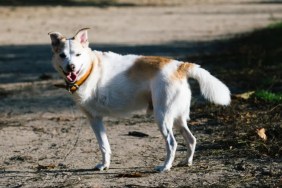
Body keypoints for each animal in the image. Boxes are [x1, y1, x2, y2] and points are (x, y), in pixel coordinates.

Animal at [48, 27, 229, 172]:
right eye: (62, 55)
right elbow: (105, 146)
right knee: (191, 139)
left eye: (78, 55)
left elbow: (103, 145)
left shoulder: (94, 118)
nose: (71, 67)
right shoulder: (96, 120)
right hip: (177, 118)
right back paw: (186, 162)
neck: (89, 69)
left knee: (172, 143)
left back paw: (165, 167)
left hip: (163, 118)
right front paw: (105, 165)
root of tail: (179, 66)